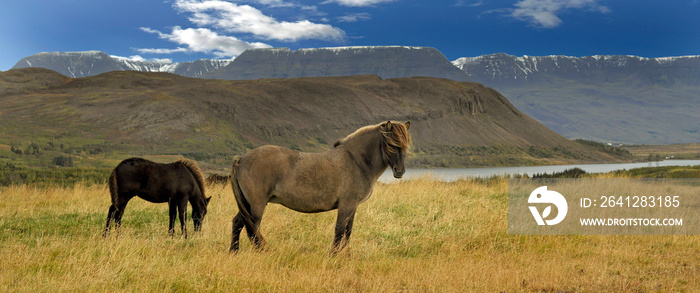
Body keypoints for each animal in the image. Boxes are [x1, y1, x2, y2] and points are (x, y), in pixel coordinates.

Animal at [231, 120, 410, 252]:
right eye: (391, 145)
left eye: (405, 146)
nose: (399, 171)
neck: (356, 161)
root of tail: (242, 158)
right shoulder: (346, 205)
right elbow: (339, 230)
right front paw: (334, 255)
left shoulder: (353, 207)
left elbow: (348, 231)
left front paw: (347, 256)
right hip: (257, 204)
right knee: (252, 227)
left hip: (248, 204)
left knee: (238, 223)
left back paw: (234, 252)